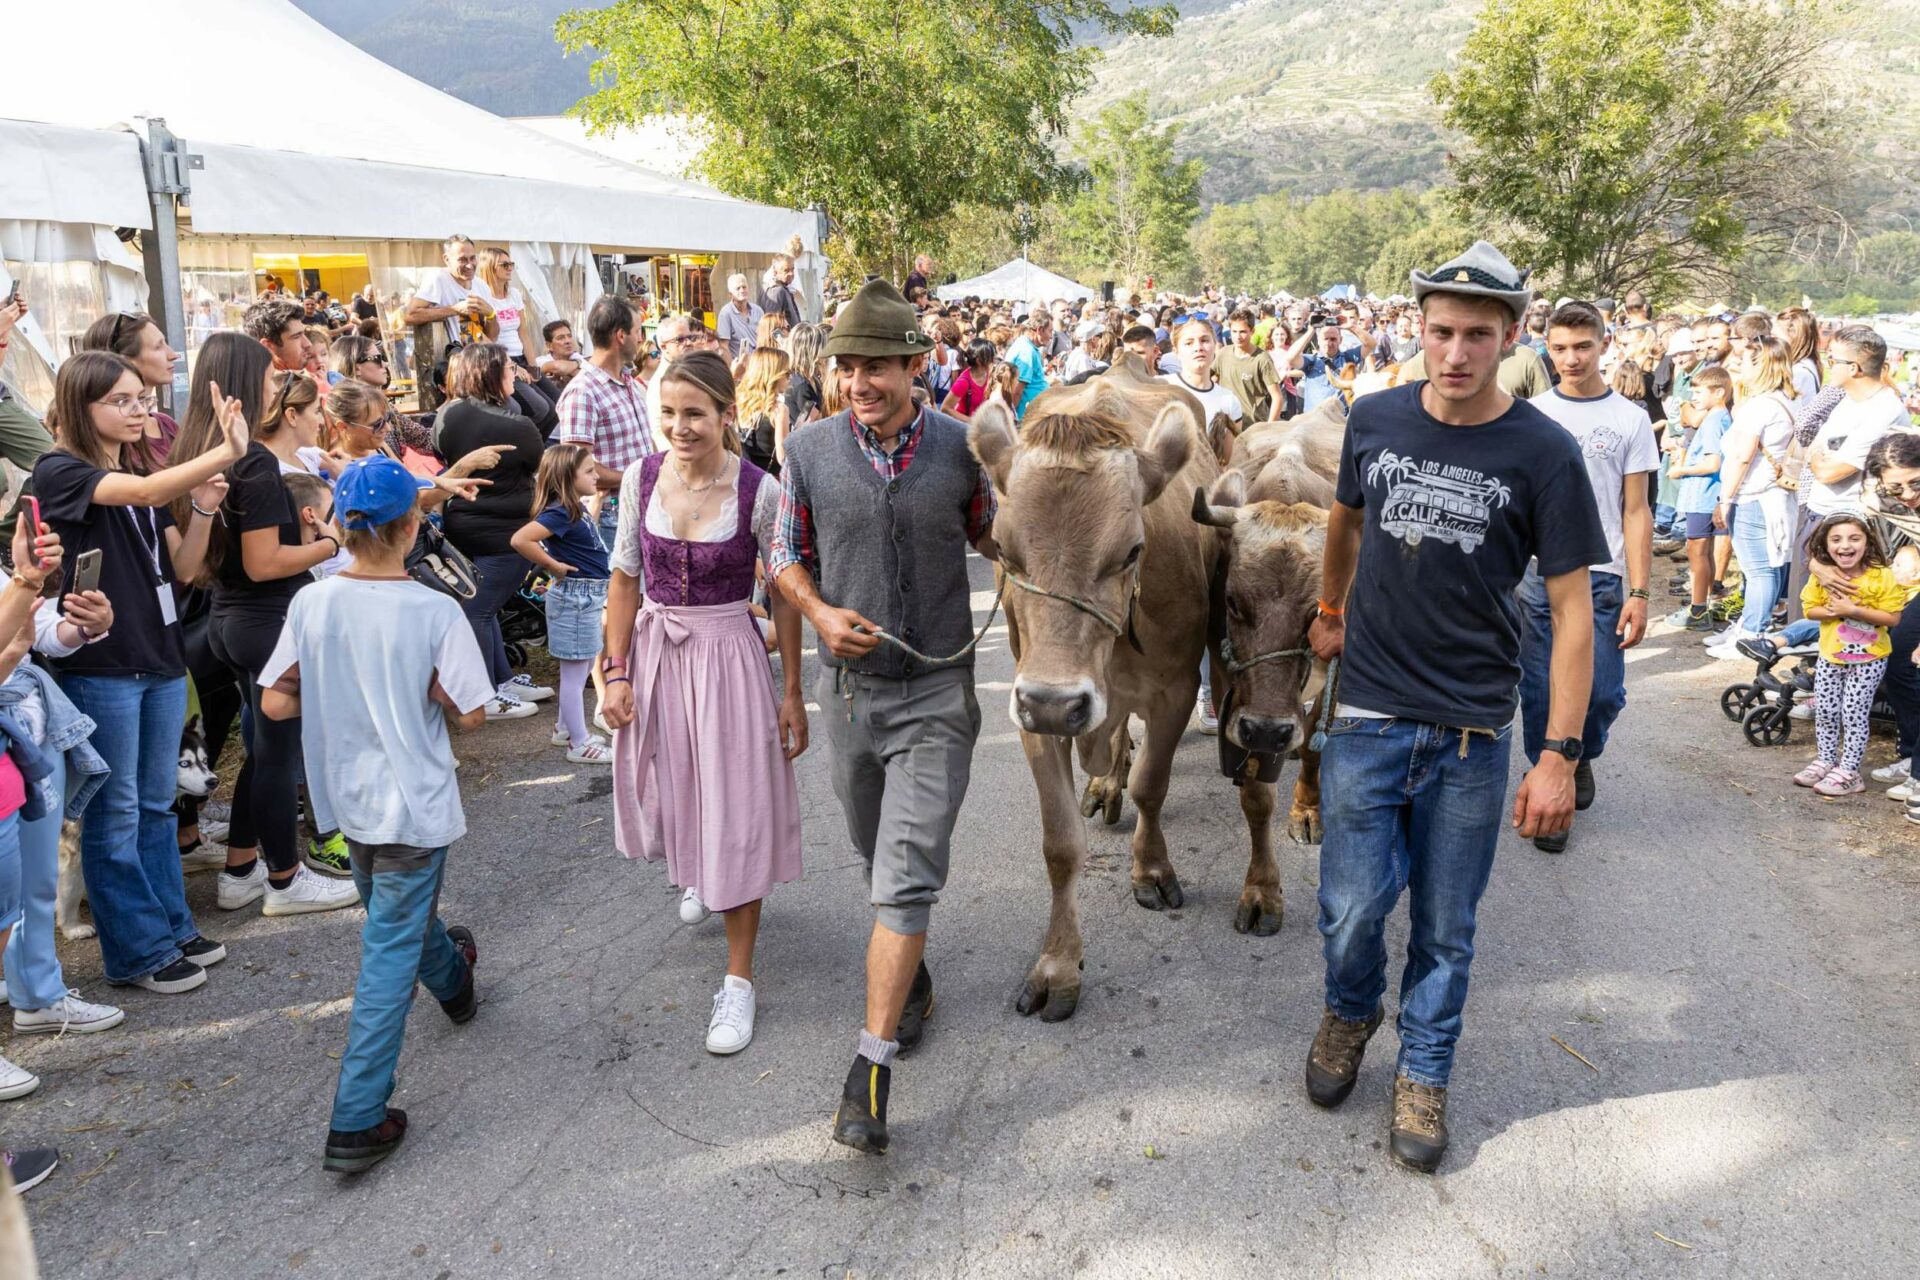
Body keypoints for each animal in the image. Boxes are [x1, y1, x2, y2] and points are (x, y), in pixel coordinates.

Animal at [967, 358, 1282, 1020]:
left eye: (1133, 550)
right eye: (1004, 550)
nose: (1057, 701)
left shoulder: (1174, 691)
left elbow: (1152, 786)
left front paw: (1151, 870)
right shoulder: (1032, 712)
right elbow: (1061, 842)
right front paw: (1058, 966)